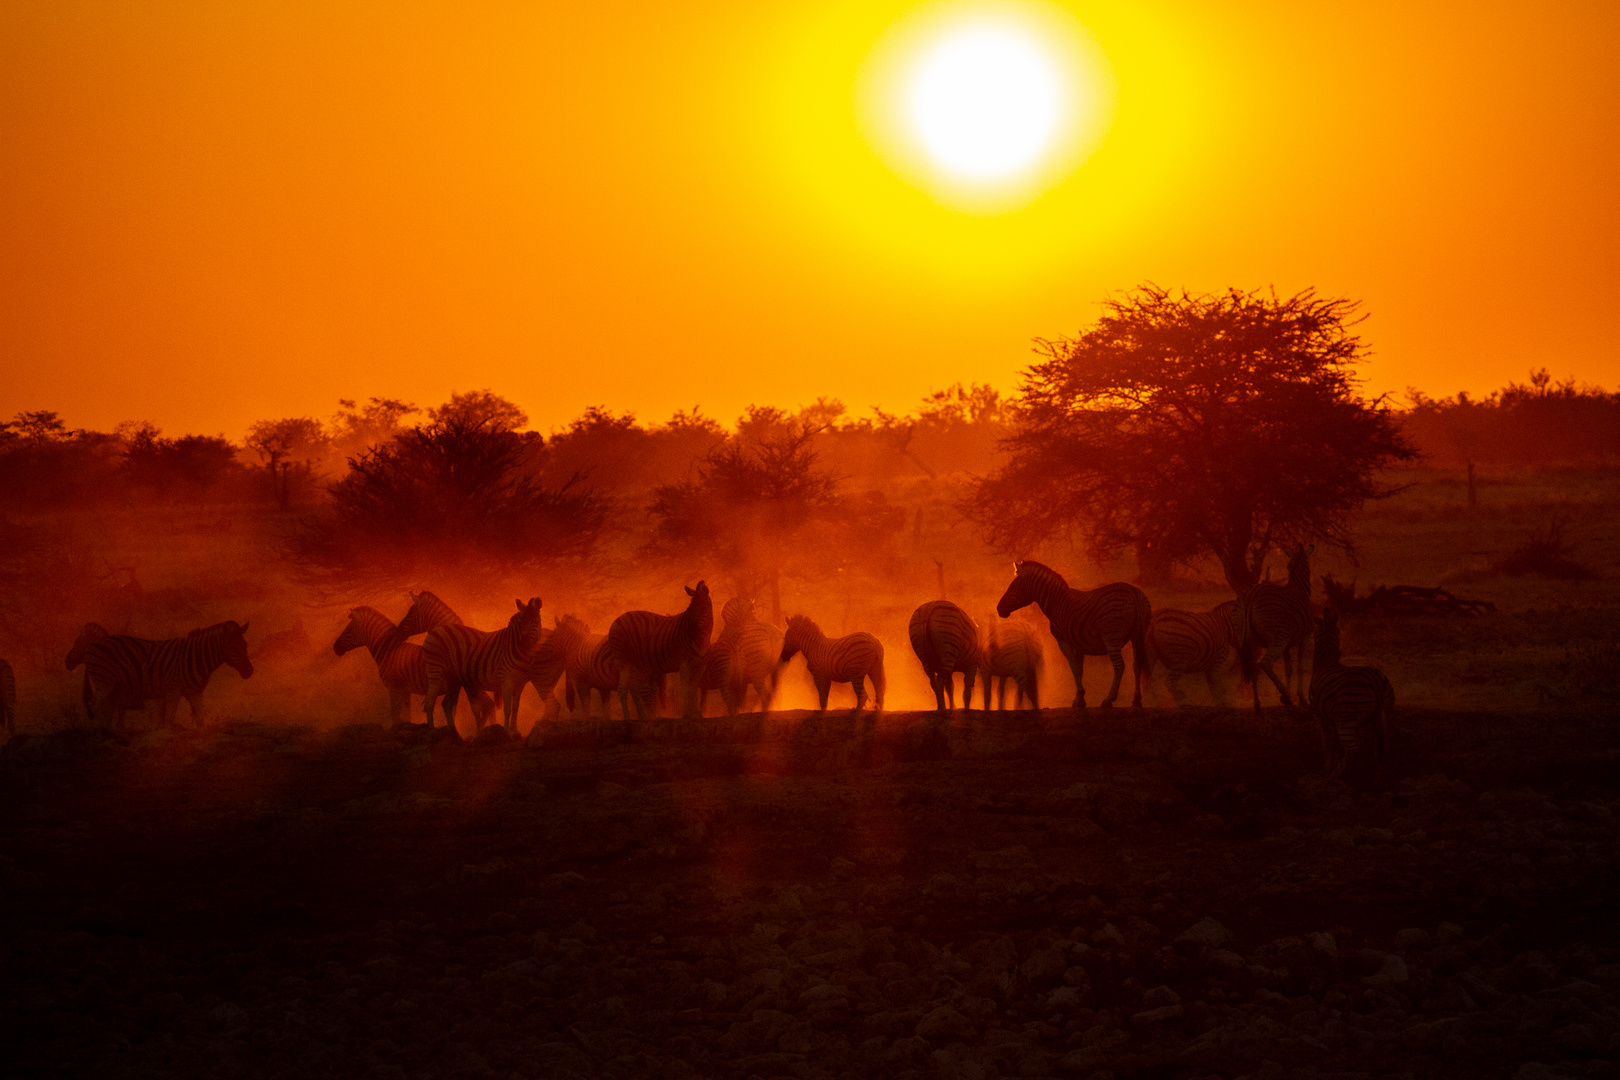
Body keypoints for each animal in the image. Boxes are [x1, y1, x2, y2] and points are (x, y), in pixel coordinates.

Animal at [82, 621, 252, 731]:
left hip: (111, 685)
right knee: (93, 705)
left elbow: (200, 719)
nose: (250, 671)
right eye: (233, 647)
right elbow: (169, 719)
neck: (197, 657)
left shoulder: (194, 692)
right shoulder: (173, 689)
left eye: (245, 645)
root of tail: (93, 644)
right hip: (104, 680)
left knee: (104, 708)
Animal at [421, 595, 541, 738]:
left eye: (535, 622)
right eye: (522, 623)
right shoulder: (506, 679)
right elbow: (507, 708)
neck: (522, 653)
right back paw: (431, 730)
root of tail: (436, 629)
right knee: (429, 700)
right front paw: (506, 731)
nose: (524, 642)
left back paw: (453, 732)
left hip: (453, 680)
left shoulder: (520, 683)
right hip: (436, 671)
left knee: (446, 704)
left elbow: (515, 708)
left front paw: (515, 731)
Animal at [605, 579, 712, 722]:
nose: (690, 631)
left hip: (637, 665)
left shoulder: (700, 665)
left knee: (633, 688)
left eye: (704, 608)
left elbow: (693, 689)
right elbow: (686, 689)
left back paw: (643, 717)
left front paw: (696, 714)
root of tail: (616, 620)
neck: (702, 638)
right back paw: (627, 718)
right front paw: (686, 715)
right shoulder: (684, 664)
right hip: (624, 661)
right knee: (622, 689)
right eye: (690, 608)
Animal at [984, 563, 1153, 712]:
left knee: (1119, 666)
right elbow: (1079, 669)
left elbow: (1074, 668)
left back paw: (1108, 700)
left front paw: (1078, 700)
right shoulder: (1079, 643)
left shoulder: (1064, 641)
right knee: (1137, 665)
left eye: (1013, 587)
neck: (1055, 602)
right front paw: (1080, 699)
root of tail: (1132, 590)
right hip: (1138, 636)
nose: (999, 609)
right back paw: (1136, 701)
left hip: (1111, 636)